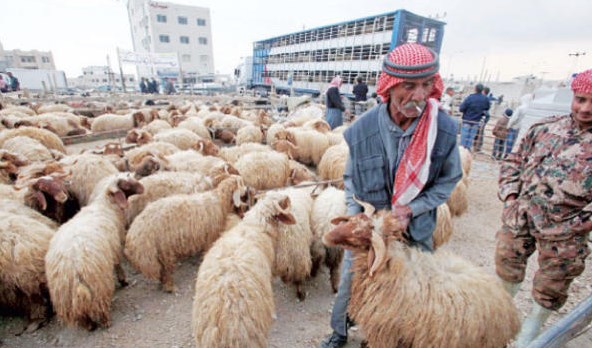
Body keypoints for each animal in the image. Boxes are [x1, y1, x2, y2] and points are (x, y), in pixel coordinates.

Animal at [44, 175, 144, 330]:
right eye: (126, 186)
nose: (142, 188)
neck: (105, 205)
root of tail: (72, 267)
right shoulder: (115, 246)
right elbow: (118, 264)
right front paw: (123, 280)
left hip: (68, 295)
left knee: (81, 313)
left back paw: (89, 325)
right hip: (97, 281)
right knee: (99, 303)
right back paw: (105, 321)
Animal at [324, 200, 524, 346]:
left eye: (358, 235)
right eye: (352, 220)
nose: (326, 236)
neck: (390, 269)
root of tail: (511, 311)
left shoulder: (386, 332)